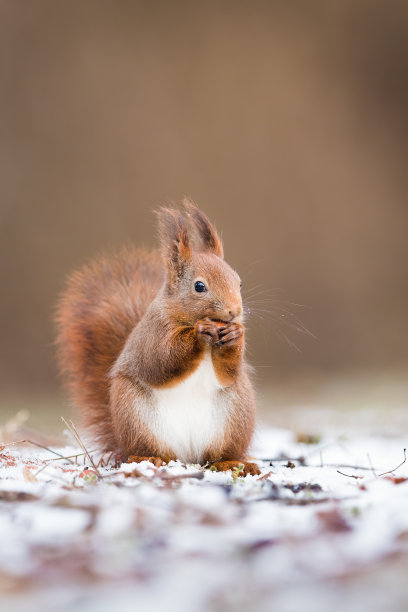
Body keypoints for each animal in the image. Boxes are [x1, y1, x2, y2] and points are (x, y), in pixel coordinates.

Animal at [55, 201, 260, 474]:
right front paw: (198, 333)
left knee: (215, 456)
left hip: (235, 417)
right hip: (137, 418)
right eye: (199, 286)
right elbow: (160, 361)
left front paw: (235, 335)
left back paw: (233, 463)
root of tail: (187, 456)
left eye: (239, 283)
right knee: (149, 451)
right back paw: (147, 459)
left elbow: (228, 373)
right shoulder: (153, 334)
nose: (234, 312)